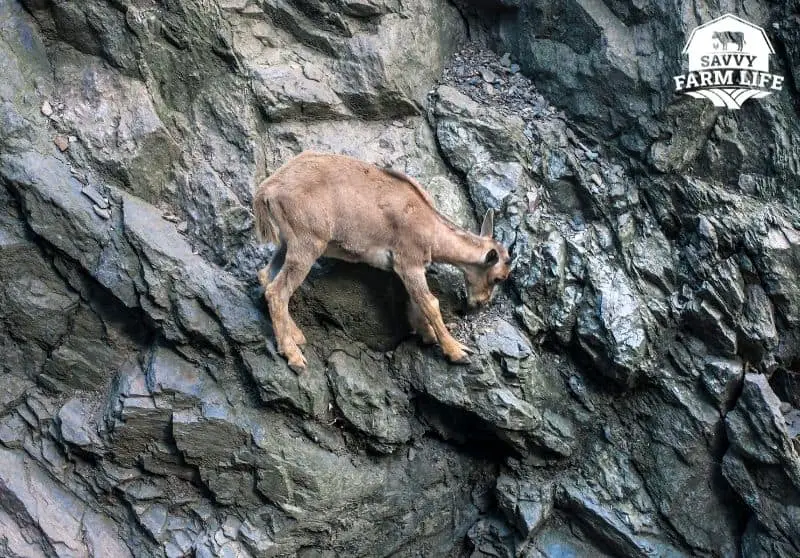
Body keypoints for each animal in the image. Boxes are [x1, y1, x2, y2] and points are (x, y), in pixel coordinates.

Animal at [253, 151, 512, 371]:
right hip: (307, 243)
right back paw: (293, 355)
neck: (429, 227)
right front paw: (457, 351)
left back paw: (296, 336)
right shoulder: (409, 261)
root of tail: (267, 190)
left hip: (286, 242)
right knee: (278, 291)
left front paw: (427, 335)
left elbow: (415, 302)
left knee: (266, 276)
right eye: (499, 277)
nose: (479, 304)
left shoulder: (405, 269)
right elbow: (430, 302)